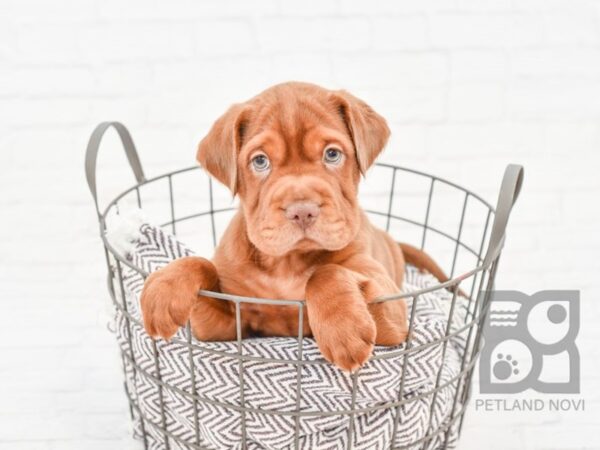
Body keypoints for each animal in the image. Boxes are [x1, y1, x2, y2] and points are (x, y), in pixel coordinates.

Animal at [139, 82, 440, 370]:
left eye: (332, 154)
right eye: (260, 161)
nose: (302, 211)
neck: (287, 264)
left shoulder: (392, 316)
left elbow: (326, 272)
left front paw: (343, 329)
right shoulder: (224, 327)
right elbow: (201, 264)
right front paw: (165, 288)